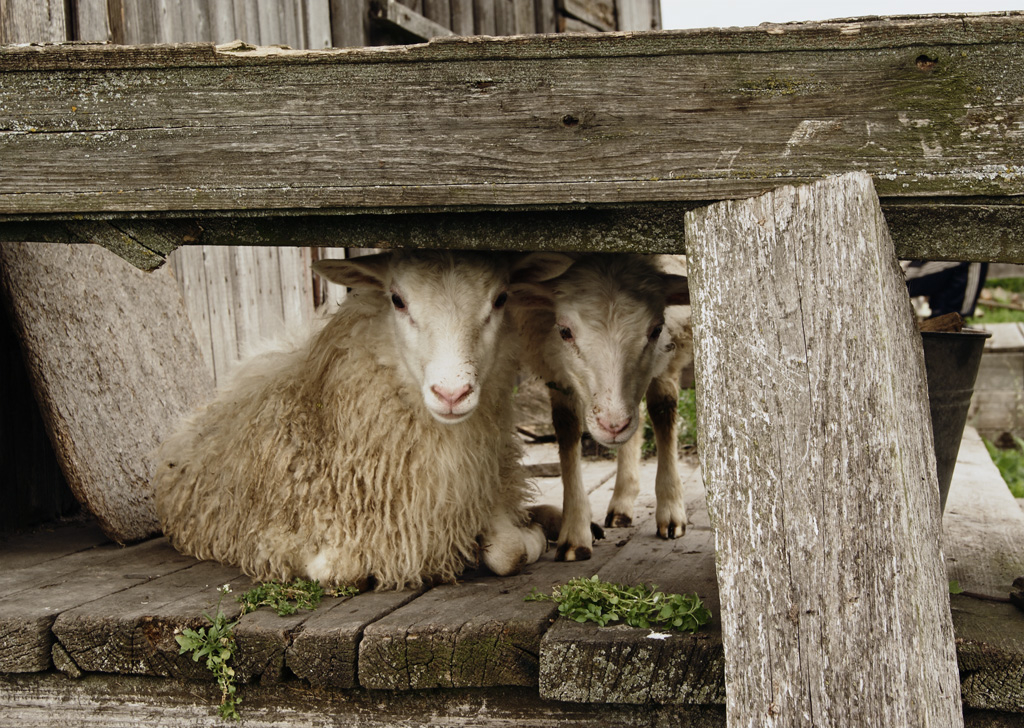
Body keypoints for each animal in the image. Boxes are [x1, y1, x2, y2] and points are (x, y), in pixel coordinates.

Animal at [153, 250, 569, 593]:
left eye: (500, 299)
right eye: (397, 300)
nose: (452, 393)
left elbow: (510, 553)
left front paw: (532, 536)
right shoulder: (276, 537)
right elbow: (342, 570)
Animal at [516, 253, 692, 561]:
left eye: (657, 329)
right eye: (564, 331)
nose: (613, 425)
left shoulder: (672, 336)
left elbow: (663, 410)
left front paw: (671, 510)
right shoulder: (553, 364)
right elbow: (566, 428)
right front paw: (575, 531)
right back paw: (622, 502)